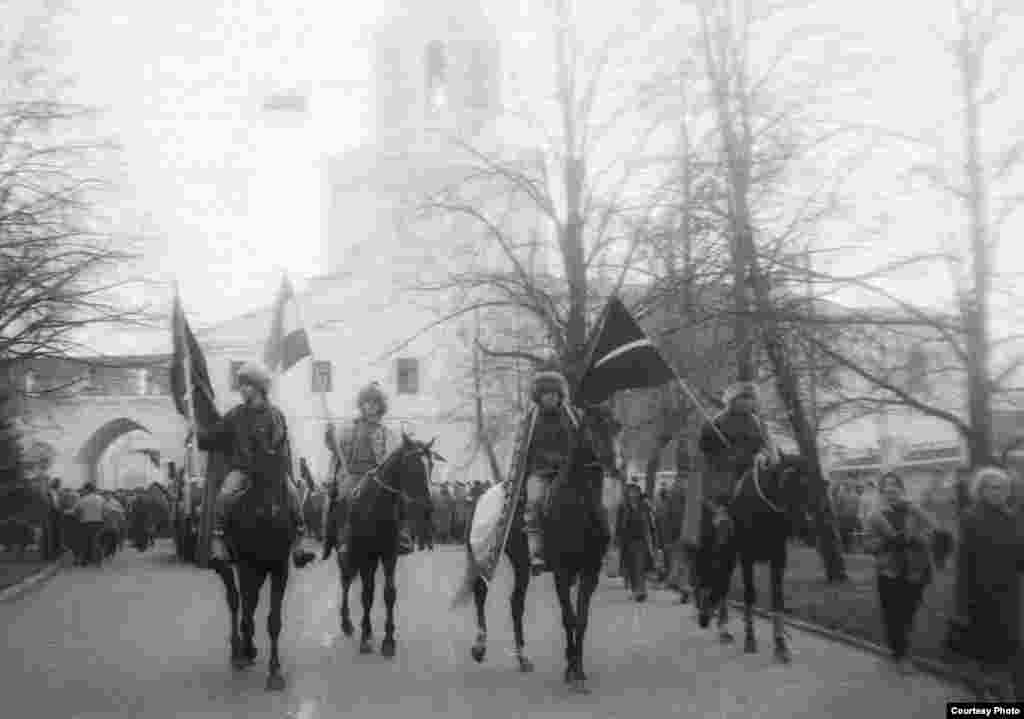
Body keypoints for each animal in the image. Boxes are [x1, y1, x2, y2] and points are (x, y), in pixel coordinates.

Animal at [331, 434, 436, 659]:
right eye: (415, 466)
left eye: (431, 465)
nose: (429, 508)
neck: (378, 506)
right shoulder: (365, 556)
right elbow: (367, 594)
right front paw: (365, 638)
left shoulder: (389, 556)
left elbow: (389, 594)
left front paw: (388, 640)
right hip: (348, 555)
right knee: (346, 582)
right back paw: (347, 623)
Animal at [468, 403, 618, 696]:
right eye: (591, 425)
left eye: (613, 425)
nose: (609, 462)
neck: (579, 506)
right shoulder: (562, 572)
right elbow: (568, 618)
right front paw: (573, 672)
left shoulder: (590, 572)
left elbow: (581, 619)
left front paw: (576, 669)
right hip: (486, 553)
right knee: (480, 592)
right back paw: (479, 647)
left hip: (522, 565)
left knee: (516, 603)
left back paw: (523, 658)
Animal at [696, 452, 815, 667]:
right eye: (787, 481)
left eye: (810, 482)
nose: (807, 526)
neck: (764, 512)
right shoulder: (747, 558)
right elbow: (749, 595)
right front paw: (750, 639)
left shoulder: (778, 559)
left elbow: (777, 599)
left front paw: (780, 645)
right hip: (718, 551)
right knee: (715, 579)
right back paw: (716, 621)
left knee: (722, 583)